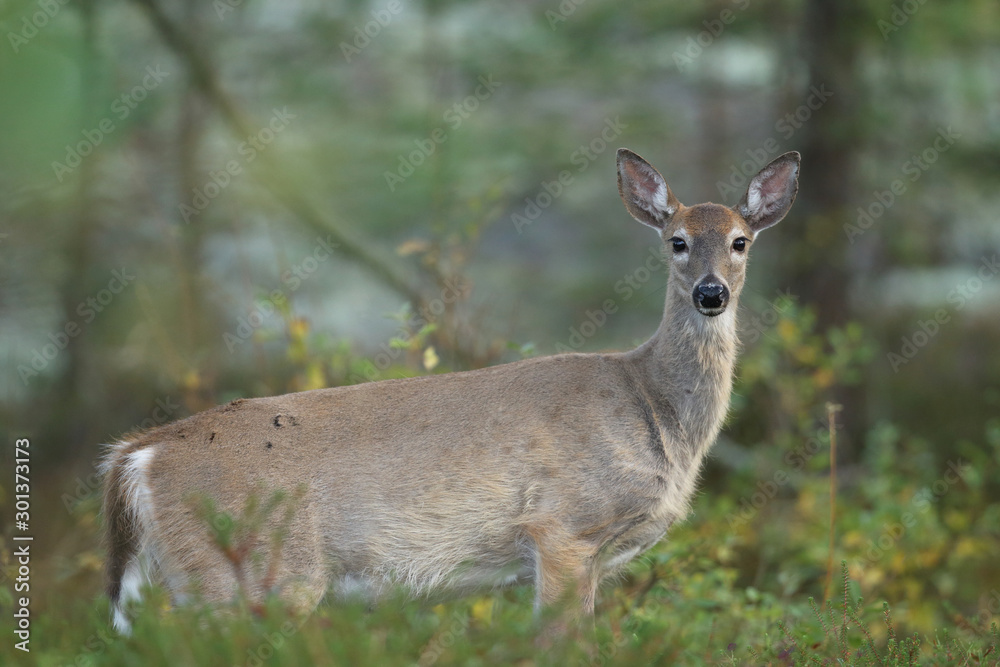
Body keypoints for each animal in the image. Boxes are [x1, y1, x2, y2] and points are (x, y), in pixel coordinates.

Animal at [101, 146, 800, 632]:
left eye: (740, 241)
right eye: (676, 241)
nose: (711, 293)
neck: (653, 410)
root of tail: (136, 456)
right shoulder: (562, 526)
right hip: (246, 573)